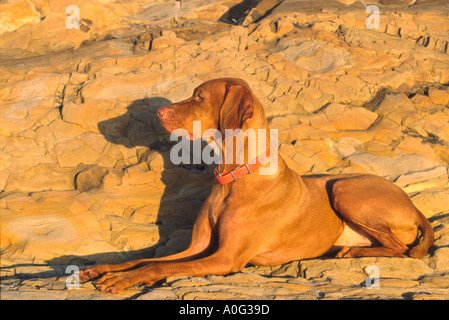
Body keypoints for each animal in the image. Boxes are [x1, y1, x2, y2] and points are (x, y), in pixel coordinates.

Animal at [79, 77, 432, 292]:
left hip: (343, 189)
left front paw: (119, 280)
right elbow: (145, 259)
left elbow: (154, 267)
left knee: (402, 248)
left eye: (200, 97)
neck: (233, 176)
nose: (159, 110)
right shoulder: (197, 248)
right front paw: (104, 269)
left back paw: (350, 251)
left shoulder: (225, 260)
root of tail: (414, 206)